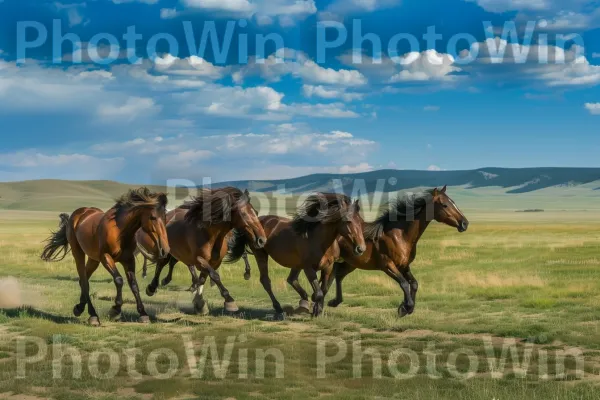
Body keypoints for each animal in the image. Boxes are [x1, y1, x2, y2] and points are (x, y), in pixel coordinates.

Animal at [41, 188, 169, 324]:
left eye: (165, 217)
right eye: (153, 217)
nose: (165, 250)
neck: (120, 232)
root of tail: (79, 213)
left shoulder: (129, 260)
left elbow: (134, 285)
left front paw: (143, 314)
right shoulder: (106, 257)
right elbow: (119, 280)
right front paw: (115, 309)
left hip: (93, 259)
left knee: (83, 280)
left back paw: (79, 308)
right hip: (78, 253)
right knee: (84, 281)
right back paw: (93, 315)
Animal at [141, 188, 268, 316]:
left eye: (256, 212)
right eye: (244, 214)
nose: (262, 240)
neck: (210, 234)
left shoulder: (214, 262)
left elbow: (204, 277)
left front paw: (200, 303)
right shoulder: (199, 259)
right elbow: (215, 275)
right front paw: (229, 301)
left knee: (173, 263)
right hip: (168, 251)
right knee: (161, 265)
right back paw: (152, 288)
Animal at [226, 193, 364, 318]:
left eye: (361, 221)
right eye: (348, 221)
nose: (360, 248)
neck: (320, 241)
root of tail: (257, 222)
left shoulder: (328, 267)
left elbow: (323, 289)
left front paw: (317, 310)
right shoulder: (309, 268)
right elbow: (319, 292)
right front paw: (315, 308)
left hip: (296, 264)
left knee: (291, 279)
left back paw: (302, 303)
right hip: (260, 254)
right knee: (266, 281)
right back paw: (279, 309)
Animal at [324, 186, 468, 318]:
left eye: (453, 202)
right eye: (445, 205)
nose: (465, 223)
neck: (400, 235)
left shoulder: (404, 265)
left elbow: (414, 284)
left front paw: (406, 308)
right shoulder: (388, 265)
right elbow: (404, 283)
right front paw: (405, 307)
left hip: (351, 263)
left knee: (338, 276)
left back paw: (333, 301)